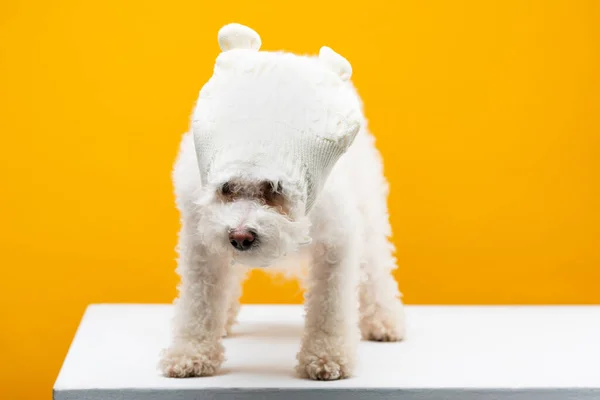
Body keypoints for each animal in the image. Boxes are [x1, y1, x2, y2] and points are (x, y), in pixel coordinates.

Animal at [159, 22, 406, 382]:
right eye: (226, 187)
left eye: (275, 187)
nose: (240, 237)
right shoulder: (201, 245)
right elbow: (198, 304)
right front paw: (191, 353)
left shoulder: (337, 243)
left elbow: (330, 306)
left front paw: (327, 357)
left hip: (370, 215)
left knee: (376, 270)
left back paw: (384, 320)